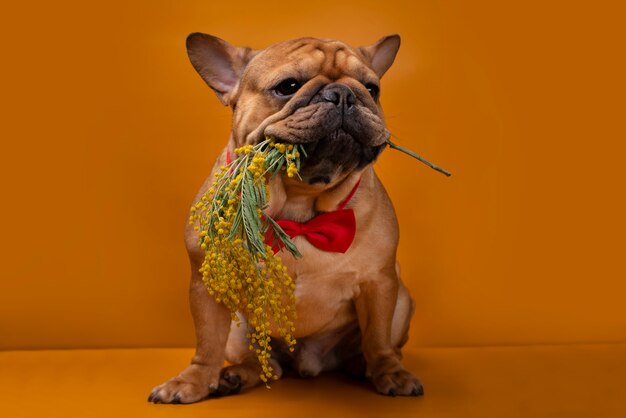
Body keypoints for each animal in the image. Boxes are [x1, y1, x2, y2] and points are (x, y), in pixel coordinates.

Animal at [149, 31, 422, 404]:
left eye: (372, 88)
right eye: (288, 86)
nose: (344, 94)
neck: (300, 206)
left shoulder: (379, 283)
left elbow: (378, 338)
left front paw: (389, 373)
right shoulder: (207, 287)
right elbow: (207, 343)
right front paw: (194, 381)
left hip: (402, 300)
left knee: (378, 345)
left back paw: (362, 365)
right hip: (240, 331)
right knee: (264, 363)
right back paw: (235, 376)